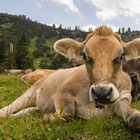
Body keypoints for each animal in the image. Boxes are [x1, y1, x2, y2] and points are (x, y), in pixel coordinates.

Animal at [0, 26, 140, 132]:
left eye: (121, 56)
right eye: (84, 55)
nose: (101, 92)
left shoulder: (124, 96)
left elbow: (131, 114)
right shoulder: (61, 93)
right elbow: (67, 113)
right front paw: (49, 117)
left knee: (28, 110)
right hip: (29, 94)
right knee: (7, 109)